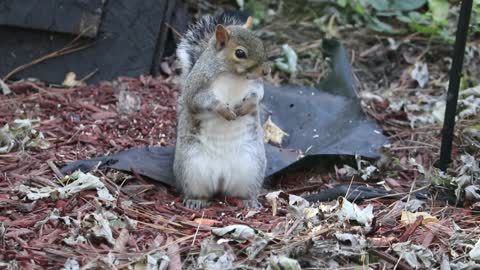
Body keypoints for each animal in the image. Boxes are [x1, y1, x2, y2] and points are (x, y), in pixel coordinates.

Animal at [172, 13, 270, 210]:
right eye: (240, 53)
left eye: (261, 43)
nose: (266, 71)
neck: (234, 76)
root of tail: (221, 179)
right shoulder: (197, 88)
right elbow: (200, 101)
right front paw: (224, 111)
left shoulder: (255, 86)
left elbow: (257, 96)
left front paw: (244, 107)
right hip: (191, 168)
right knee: (197, 191)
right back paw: (195, 200)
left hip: (251, 167)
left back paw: (249, 201)